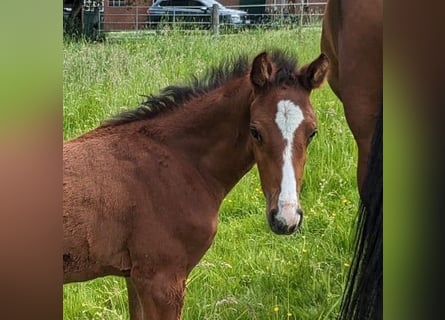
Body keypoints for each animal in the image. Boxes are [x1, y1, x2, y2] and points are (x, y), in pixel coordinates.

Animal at [63, 48, 326, 318]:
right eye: (255, 131)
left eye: (312, 132)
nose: (286, 219)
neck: (179, 160)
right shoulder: (161, 280)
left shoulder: (133, 276)